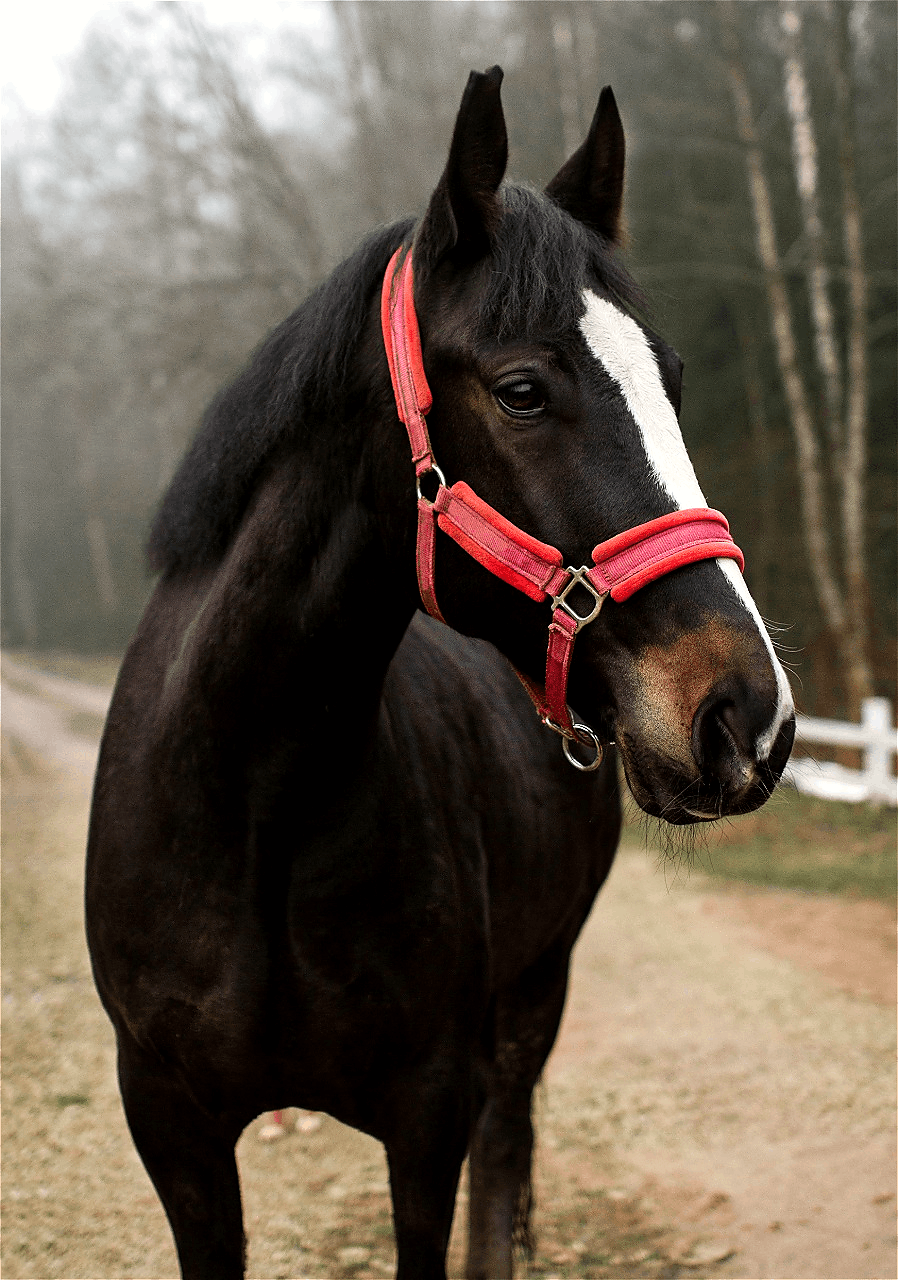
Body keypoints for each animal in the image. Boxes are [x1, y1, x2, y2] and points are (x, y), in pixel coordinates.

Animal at [85, 67, 795, 1280]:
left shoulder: (427, 1113)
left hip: (536, 989)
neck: (255, 804)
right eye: (521, 390)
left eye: (673, 378)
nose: (745, 715)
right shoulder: (173, 1129)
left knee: (507, 1159)